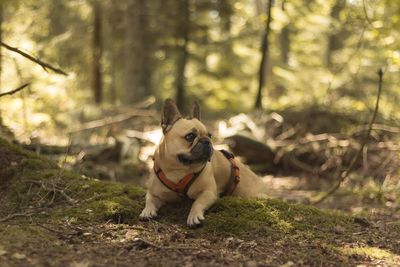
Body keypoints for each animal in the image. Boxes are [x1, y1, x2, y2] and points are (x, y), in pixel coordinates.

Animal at [139, 99, 268, 227]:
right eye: (190, 136)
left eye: (209, 135)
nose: (206, 141)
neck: (178, 169)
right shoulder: (155, 192)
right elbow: (149, 198)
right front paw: (147, 210)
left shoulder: (209, 192)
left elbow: (198, 202)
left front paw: (194, 216)